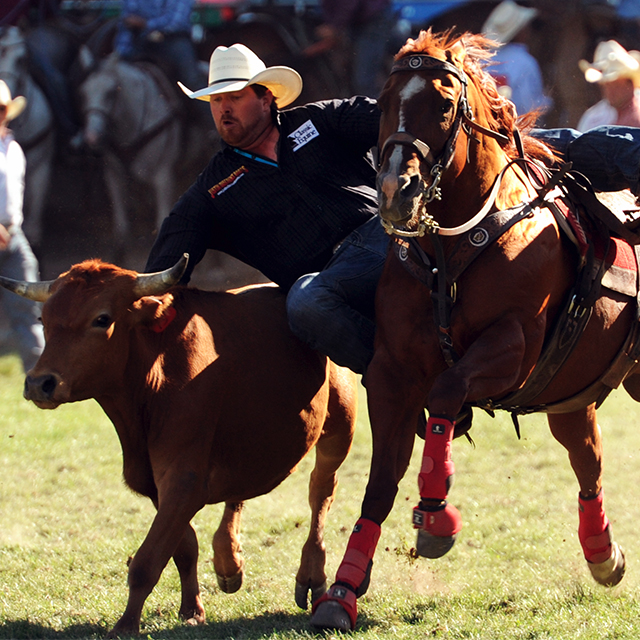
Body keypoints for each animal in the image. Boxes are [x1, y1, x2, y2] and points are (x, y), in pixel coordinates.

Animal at [312, 28, 640, 632]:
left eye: (443, 105)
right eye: (384, 101)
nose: (395, 189)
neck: (454, 249)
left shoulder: (513, 347)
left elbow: (446, 392)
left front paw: (436, 515)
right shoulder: (392, 373)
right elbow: (380, 480)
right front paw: (342, 590)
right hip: (572, 392)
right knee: (587, 458)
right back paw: (603, 554)